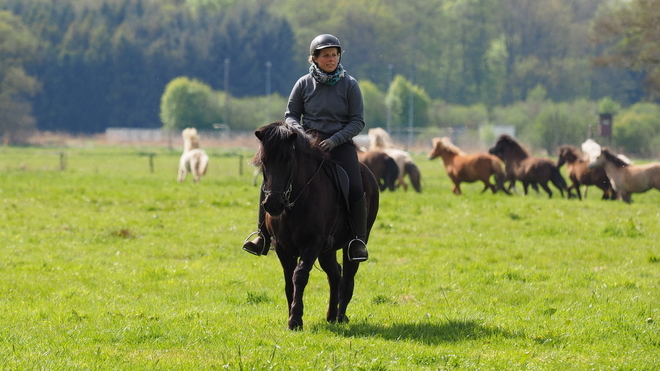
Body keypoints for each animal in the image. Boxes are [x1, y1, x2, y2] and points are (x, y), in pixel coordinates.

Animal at [251, 123, 378, 332]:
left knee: (348, 276)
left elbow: (300, 276)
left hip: (354, 242)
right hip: (327, 251)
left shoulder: (312, 243)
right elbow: (289, 281)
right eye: (264, 161)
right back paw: (331, 315)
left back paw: (341, 316)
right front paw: (291, 316)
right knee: (334, 273)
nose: (273, 205)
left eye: (288, 160)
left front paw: (295, 319)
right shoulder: (282, 246)